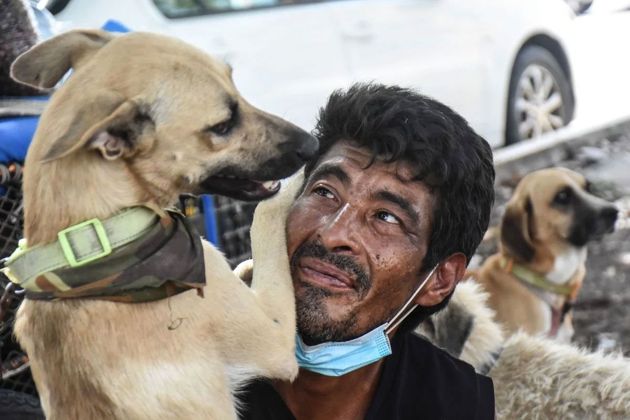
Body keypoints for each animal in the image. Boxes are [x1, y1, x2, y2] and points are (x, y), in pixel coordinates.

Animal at [8, 30, 318, 420]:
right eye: (222, 126)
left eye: (236, 86)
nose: (314, 144)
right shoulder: (276, 336)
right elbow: (266, 215)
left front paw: (246, 269)